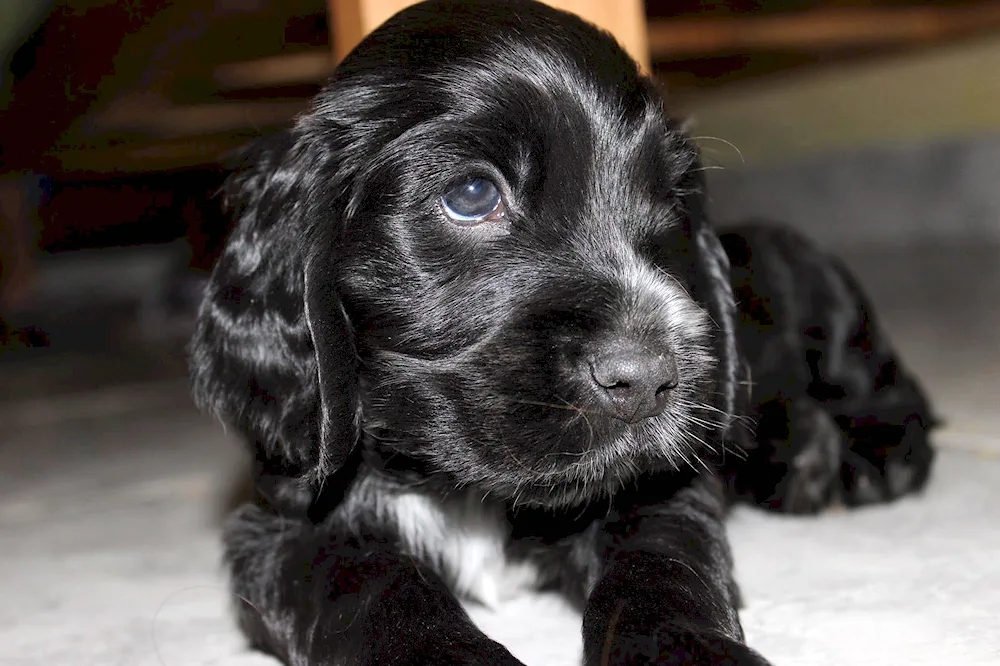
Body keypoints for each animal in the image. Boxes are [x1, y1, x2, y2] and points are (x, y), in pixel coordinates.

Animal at [189, 2, 936, 660]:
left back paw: (872, 456)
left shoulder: (655, 490)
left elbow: (660, 569)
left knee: (884, 381)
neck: (462, 489)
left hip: (824, 298)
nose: (649, 379)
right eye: (471, 196)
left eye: (671, 205)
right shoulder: (282, 525)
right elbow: (375, 587)